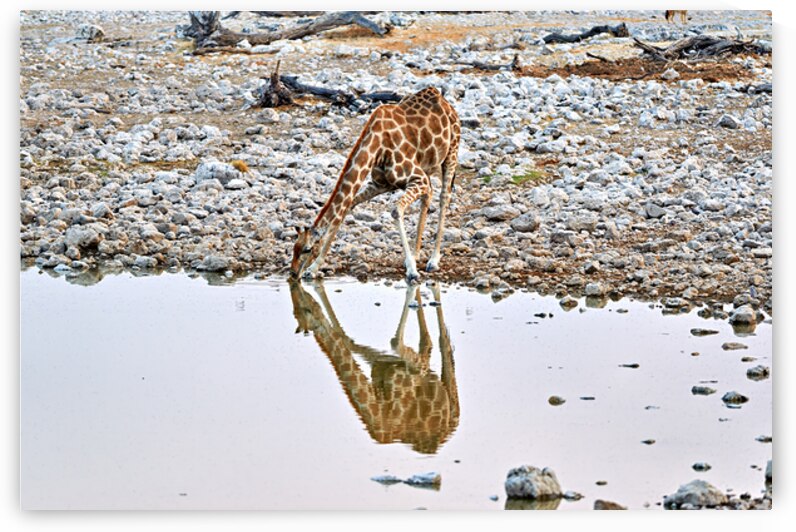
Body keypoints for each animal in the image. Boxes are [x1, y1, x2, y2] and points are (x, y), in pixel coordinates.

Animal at [289, 280, 459, 454]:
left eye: (304, 310)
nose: (295, 279)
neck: (379, 414)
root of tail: (449, 428)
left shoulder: (408, 371)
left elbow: (396, 344)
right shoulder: (379, 366)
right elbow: (349, 341)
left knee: (443, 343)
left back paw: (432, 286)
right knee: (427, 342)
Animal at [290, 86, 461, 283]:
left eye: (307, 249)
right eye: (294, 247)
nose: (293, 273)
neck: (377, 148)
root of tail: (443, 100)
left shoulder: (417, 178)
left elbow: (396, 211)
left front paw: (412, 271)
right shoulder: (381, 183)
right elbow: (348, 205)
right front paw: (313, 269)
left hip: (451, 153)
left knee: (444, 196)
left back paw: (433, 260)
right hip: (426, 166)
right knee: (429, 195)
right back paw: (416, 255)